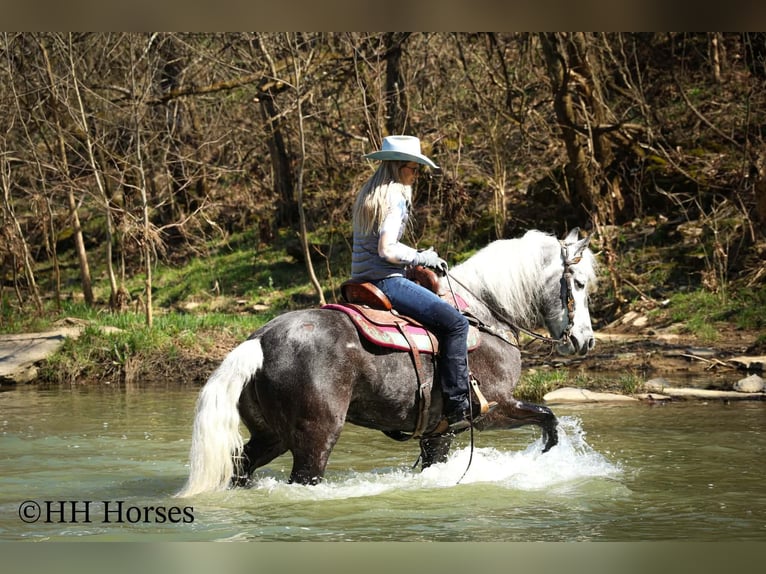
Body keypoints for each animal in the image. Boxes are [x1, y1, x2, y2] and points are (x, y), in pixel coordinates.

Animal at [176, 228, 597, 496]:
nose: (585, 340)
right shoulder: (493, 409)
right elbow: (548, 418)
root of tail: (259, 342)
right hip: (315, 440)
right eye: (578, 284)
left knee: (240, 469)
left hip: (270, 437)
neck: (485, 313)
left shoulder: (439, 432)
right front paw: (545, 459)